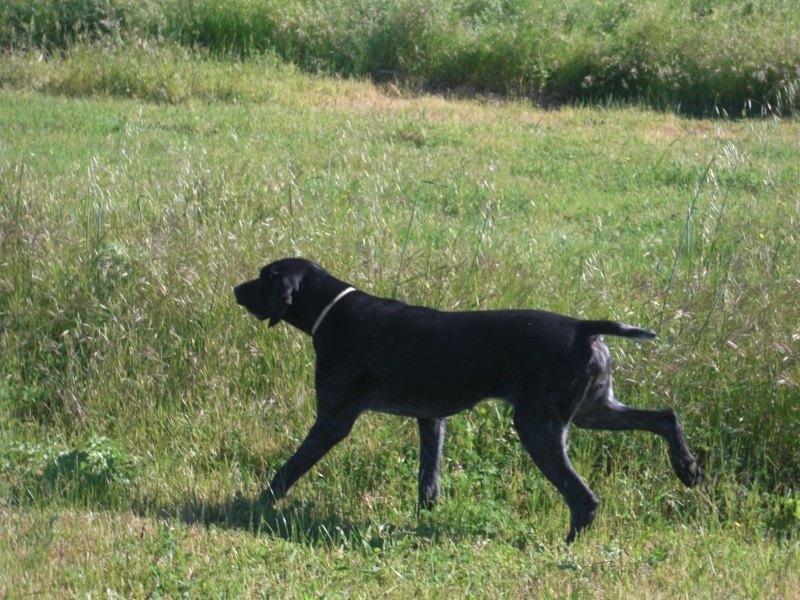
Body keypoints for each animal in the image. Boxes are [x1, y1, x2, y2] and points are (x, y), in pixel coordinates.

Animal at [234, 258, 701, 543]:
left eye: (264, 276)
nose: (236, 289)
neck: (333, 311)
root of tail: (582, 327)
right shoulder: (431, 420)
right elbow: (429, 482)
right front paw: (424, 521)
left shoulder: (333, 419)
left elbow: (287, 470)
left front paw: (252, 507)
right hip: (593, 410)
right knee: (665, 416)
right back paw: (687, 468)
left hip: (539, 427)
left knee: (583, 498)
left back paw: (565, 546)